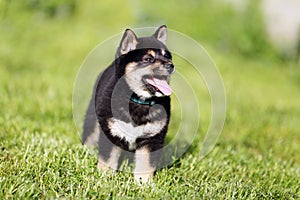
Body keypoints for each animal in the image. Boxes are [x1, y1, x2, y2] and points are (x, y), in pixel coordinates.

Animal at [83, 25, 175, 183]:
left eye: (167, 57)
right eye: (148, 59)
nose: (171, 65)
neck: (139, 100)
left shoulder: (152, 138)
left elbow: (146, 165)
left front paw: (144, 184)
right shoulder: (111, 132)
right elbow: (107, 160)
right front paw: (104, 178)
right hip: (93, 120)